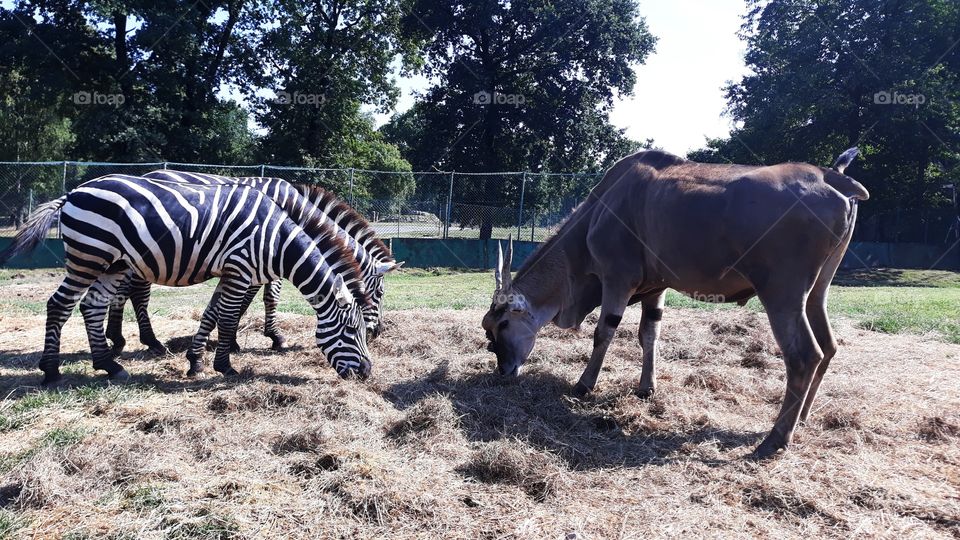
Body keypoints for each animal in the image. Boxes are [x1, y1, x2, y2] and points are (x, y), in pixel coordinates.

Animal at [0, 174, 373, 386]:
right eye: (351, 331)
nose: (367, 373)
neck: (275, 239)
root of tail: (74, 192)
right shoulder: (240, 270)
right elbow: (227, 318)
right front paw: (225, 365)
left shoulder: (231, 273)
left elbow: (211, 314)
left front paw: (196, 362)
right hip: (89, 257)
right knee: (59, 304)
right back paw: (51, 371)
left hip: (113, 263)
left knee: (93, 306)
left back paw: (109, 365)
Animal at [103, 170, 401, 359]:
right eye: (380, 293)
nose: (377, 333)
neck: (295, 211)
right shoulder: (266, 255)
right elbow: (266, 298)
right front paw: (274, 338)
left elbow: (243, 301)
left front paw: (232, 339)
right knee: (136, 291)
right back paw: (146, 341)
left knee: (122, 290)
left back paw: (117, 338)